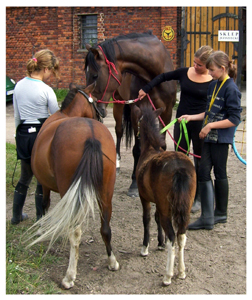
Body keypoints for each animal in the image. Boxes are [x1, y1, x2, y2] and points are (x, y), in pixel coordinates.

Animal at [25, 83, 119, 290]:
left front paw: (42, 229)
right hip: (106, 193)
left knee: (74, 232)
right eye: (96, 101)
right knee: (106, 228)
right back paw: (112, 261)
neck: (66, 115)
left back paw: (69, 276)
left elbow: (44, 204)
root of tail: (91, 135)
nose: (103, 112)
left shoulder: (44, 185)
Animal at [84, 31, 175, 197]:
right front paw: (134, 185)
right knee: (119, 132)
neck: (154, 75)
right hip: (118, 105)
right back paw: (118, 164)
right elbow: (137, 149)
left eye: (94, 75)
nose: (94, 106)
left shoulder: (167, 112)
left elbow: (162, 145)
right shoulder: (136, 111)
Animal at [134, 105, 197, 286]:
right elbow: (156, 219)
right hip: (184, 208)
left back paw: (168, 276)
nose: (137, 135)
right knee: (181, 236)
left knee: (172, 237)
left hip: (166, 209)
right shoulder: (158, 202)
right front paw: (160, 243)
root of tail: (179, 168)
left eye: (138, 121)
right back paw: (181, 272)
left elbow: (147, 219)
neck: (150, 149)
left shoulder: (144, 197)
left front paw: (145, 248)